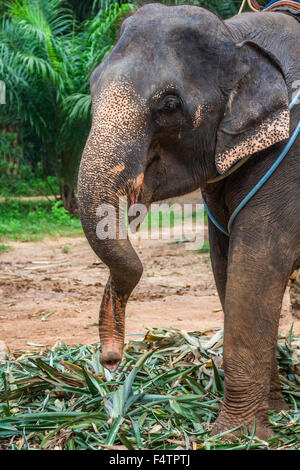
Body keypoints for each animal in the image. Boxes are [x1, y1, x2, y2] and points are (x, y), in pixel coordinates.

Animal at [77, 2, 300, 440]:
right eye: (92, 86)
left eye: (168, 105)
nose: (110, 361)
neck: (238, 36)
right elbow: (226, 267)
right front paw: (276, 414)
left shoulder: (291, 158)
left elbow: (258, 264)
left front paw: (235, 437)